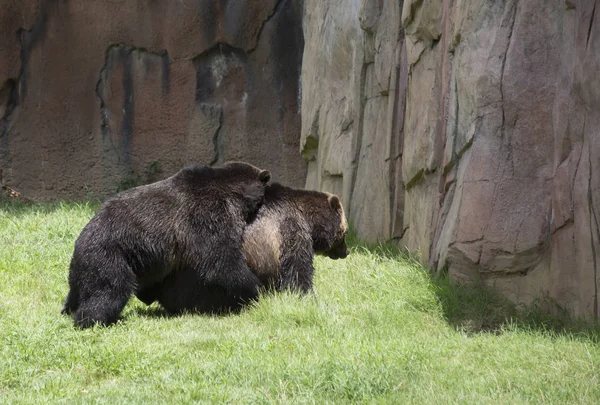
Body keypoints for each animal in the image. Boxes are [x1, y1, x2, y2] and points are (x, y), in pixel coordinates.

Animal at [62, 159, 270, 326]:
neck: (232, 196)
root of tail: (78, 243)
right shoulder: (204, 214)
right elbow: (221, 261)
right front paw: (256, 288)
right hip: (110, 254)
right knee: (111, 289)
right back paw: (94, 320)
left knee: (78, 293)